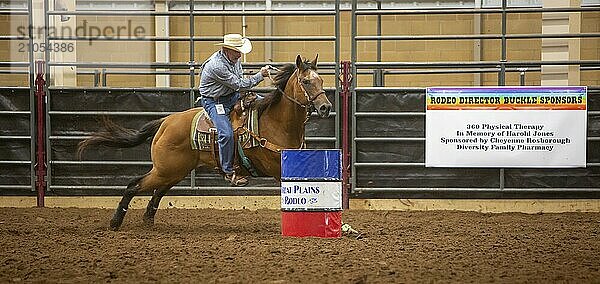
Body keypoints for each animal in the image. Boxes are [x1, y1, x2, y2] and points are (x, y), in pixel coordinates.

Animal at [77, 55, 332, 231]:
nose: (325, 107)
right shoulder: (279, 170)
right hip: (165, 170)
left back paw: (148, 220)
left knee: (157, 191)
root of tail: (165, 121)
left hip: (174, 172)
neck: (277, 122)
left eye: (321, 80)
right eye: (306, 82)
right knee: (134, 185)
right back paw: (115, 222)